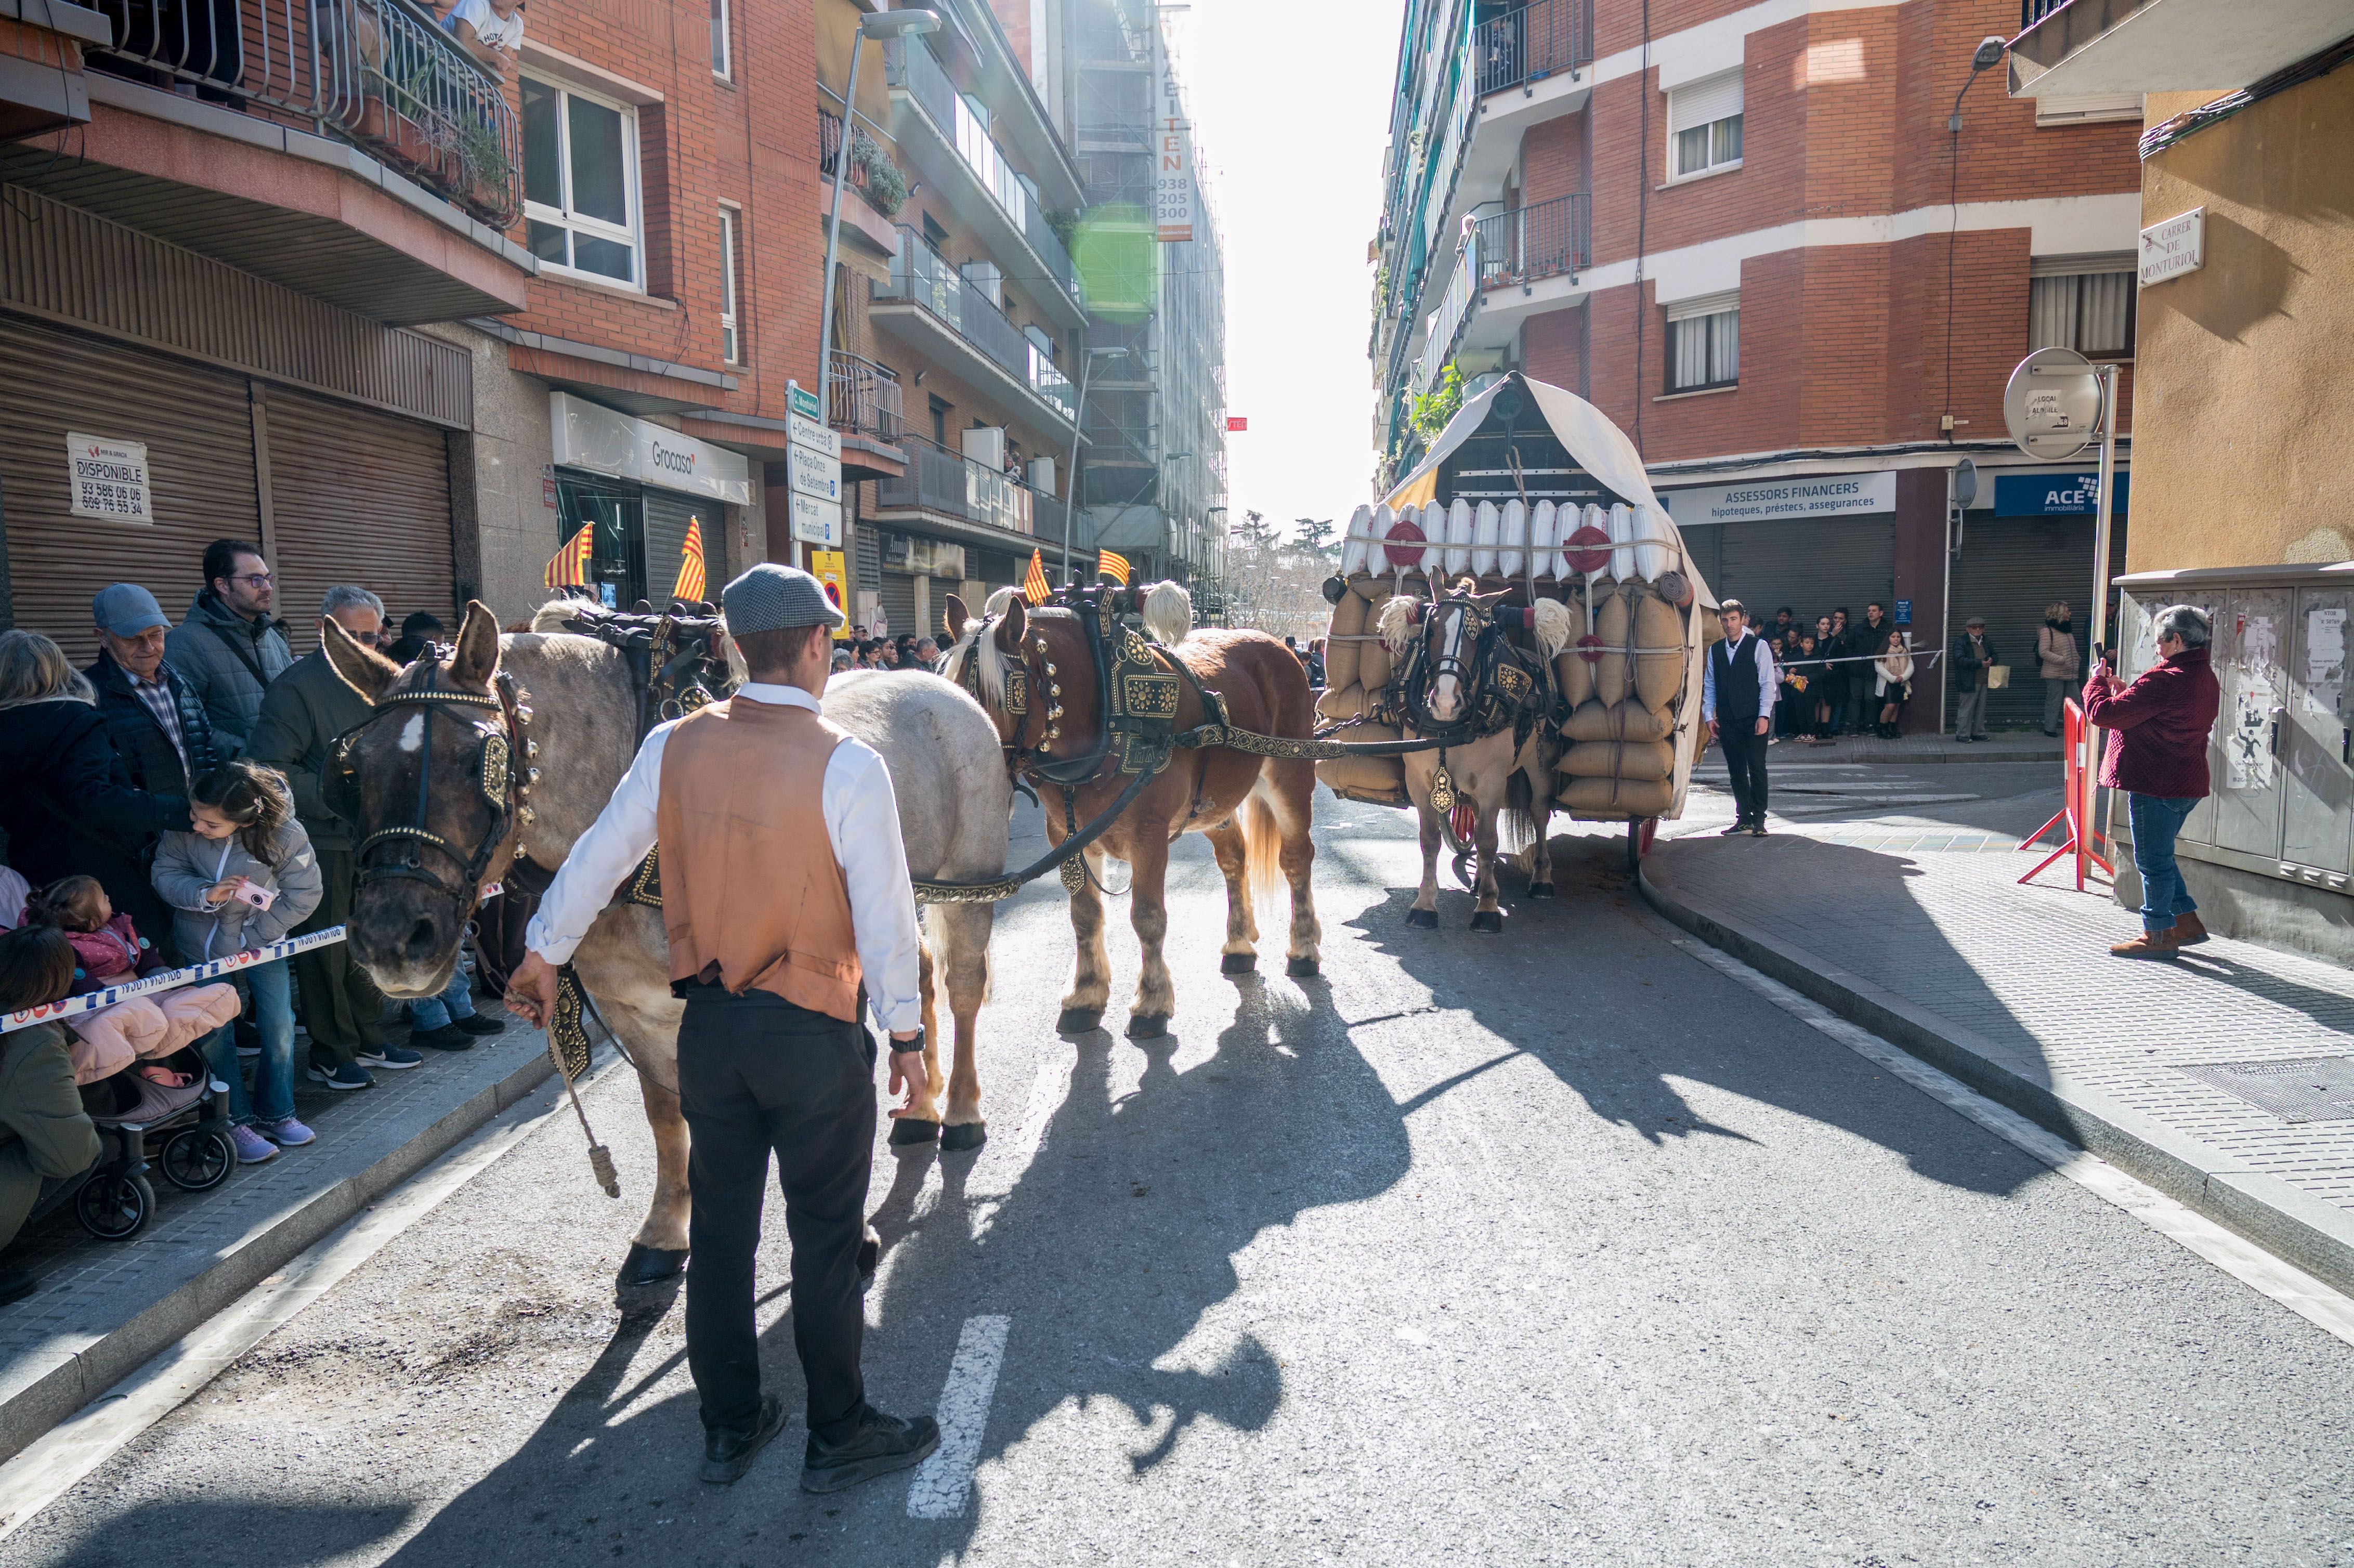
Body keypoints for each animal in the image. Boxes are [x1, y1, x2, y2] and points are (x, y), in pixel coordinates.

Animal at [941, 579, 1327, 1031]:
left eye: (996, 696)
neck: (1108, 713)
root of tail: (1278, 647)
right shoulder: (1067, 837)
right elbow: (1085, 915)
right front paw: (1086, 993)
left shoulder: (1149, 835)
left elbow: (1147, 916)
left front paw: (1152, 1001)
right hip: (1213, 805)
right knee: (1234, 859)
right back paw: (1238, 944)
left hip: (1290, 776)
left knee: (1297, 859)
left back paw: (1304, 947)